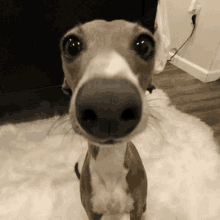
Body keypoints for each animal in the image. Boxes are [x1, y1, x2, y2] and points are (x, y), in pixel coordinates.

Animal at [59, 19, 157, 220]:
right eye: (71, 45)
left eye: (144, 44)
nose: (108, 106)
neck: (110, 164)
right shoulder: (92, 213)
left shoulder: (136, 210)